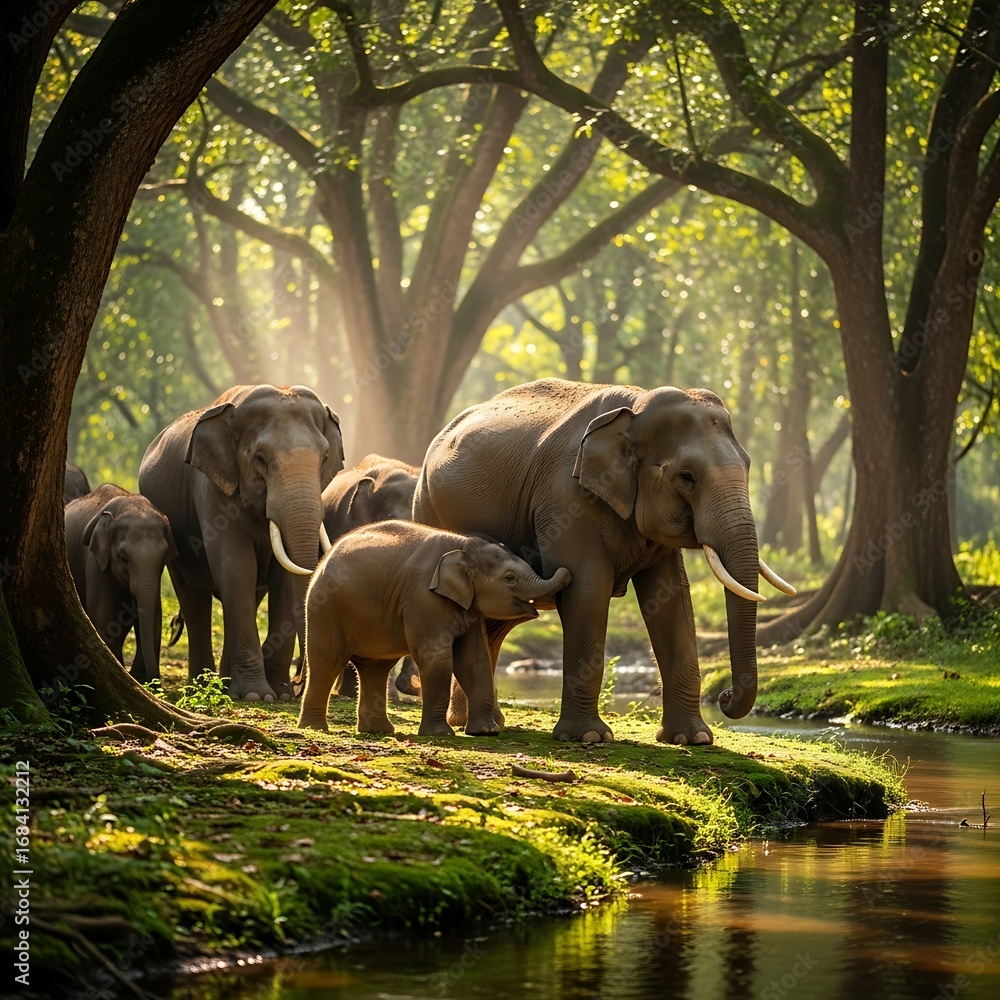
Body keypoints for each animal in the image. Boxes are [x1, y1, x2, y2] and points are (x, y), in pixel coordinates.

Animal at [65, 484, 176, 681]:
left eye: (164, 557)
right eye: (123, 558)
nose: (155, 680)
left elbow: (154, 616)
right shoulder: (95, 562)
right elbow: (104, 616)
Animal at [138, 384, 344, 701]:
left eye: (324, 459)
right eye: (260, 459)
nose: (298, 685)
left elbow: (282, 576)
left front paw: (280, 694)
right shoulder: (211, 489)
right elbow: (237, 566)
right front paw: (256, 696)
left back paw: (225, 683)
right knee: (194, 601)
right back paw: (204, 685)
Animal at [298, 520, 571, 736]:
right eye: (510, 578)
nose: (567, 571)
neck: (463, 546)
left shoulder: (467, 607)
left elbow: (474, 659)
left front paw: (486, 732)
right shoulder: (423, 599)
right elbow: (437, 659)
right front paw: (441, 734)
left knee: (375, 668)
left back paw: (378, 731)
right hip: (324, 610)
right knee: (327, 663)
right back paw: (315, 728)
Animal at [413, 378, 794, 746]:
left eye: (748, 465)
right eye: (686, 477)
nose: (726, 697)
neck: (636, 405)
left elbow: (672, 599)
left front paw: (693, 738)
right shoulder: (565, 499)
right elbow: (588, 588)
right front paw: (589, 737)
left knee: (493, 623)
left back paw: (484, 724)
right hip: (427, 505)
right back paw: (475, 724)